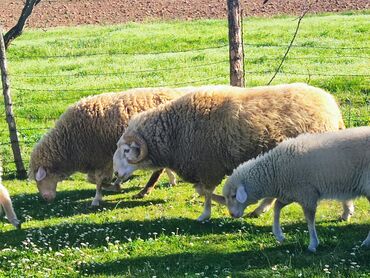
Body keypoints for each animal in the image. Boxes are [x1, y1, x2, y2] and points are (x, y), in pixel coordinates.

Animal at [28, 88, 179, 206]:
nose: (46, 199)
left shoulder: (101, 159)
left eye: (39, 179)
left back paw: (145, 191)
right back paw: (171, 180)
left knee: (158, 170)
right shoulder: (98, 161)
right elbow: (93, 179)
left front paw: (99, 197)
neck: (68, 141)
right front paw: (114, 186)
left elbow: (99, 180)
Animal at [112, 83, 350, 222]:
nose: (115, 174)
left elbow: (206, 193)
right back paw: (260, 210)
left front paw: (206, 213)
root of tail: (332, 107)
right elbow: (202, 191)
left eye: (127, 150)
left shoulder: (209, 167)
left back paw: (346, 212)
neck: (176, 132)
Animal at [223, 126, 370, 252]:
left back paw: (366, 242)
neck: (274, 172)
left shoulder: (307, 195)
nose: (232, 215)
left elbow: (309, 221)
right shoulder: (290, 193)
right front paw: (279, 235)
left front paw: (313, 244)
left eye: (234, 196)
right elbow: (277, 207)